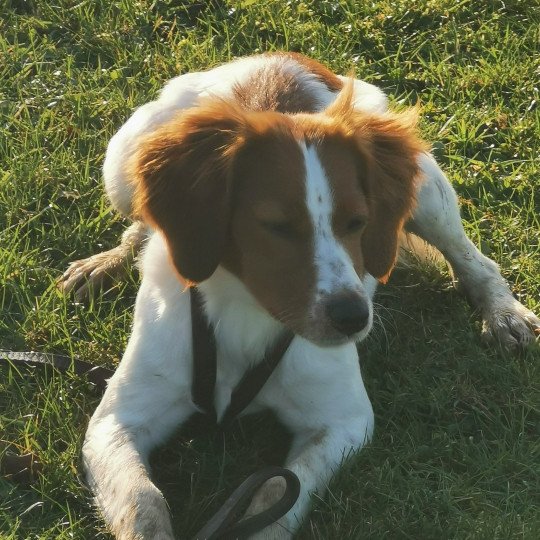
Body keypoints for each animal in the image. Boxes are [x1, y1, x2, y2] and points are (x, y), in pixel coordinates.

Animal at [69, 51, 536, 540]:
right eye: (276, 226)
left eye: (358, 222)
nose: (353, 318)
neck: (248, 316)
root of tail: (279, 57)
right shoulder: (116, 420)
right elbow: (142, 502)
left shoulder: (344, 422)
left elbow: (276, 494)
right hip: (121, 161)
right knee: (142, 221)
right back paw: (104, 264)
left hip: (426, 190)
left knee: (473, 259)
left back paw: (504, 314)